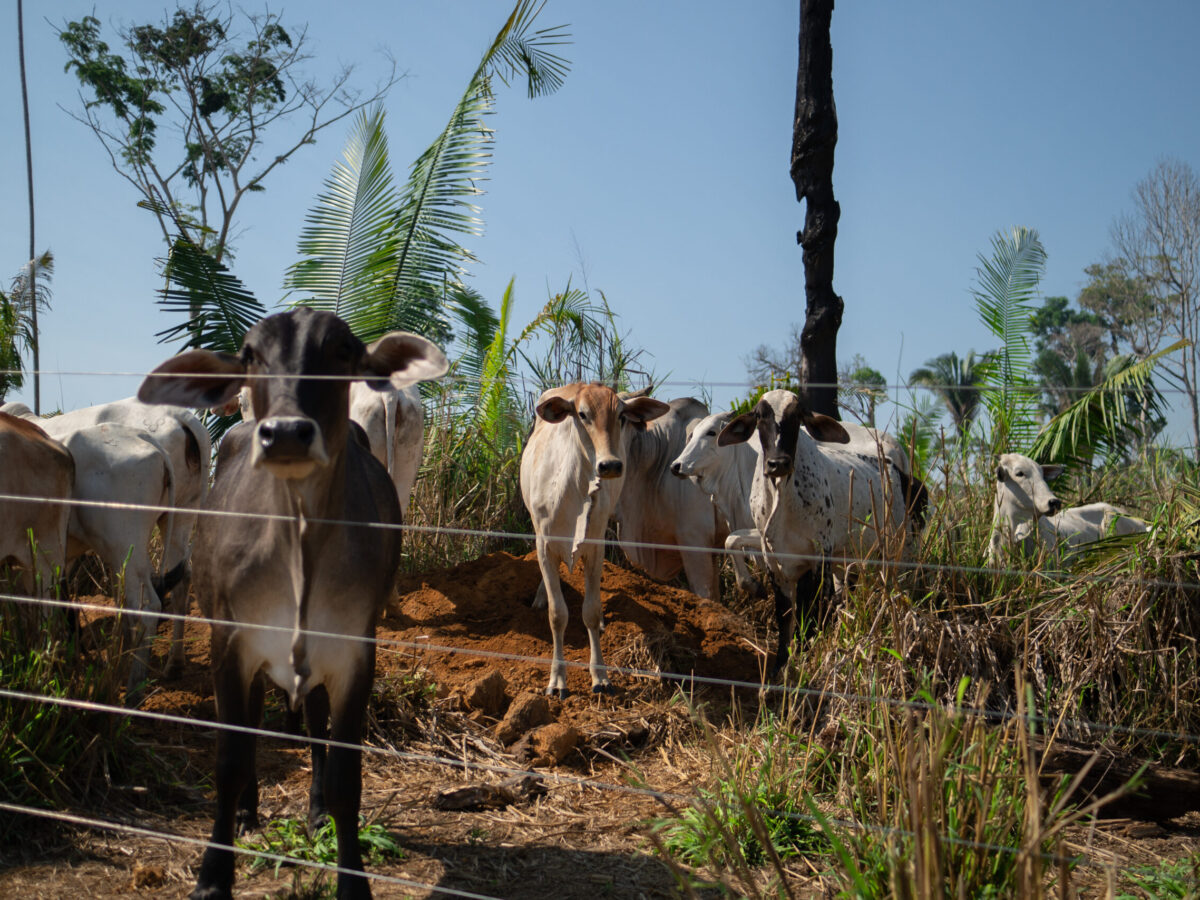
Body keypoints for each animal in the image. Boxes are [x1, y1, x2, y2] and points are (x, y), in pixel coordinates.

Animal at [136, 307, 446, 897]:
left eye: (344, 350)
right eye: (250, 354)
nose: (285, 433)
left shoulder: (352, 653)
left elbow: (346, 772)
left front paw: (351, 877)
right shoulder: (231, 644)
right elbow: (231, 760)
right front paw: (213, 876)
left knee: (315, 729)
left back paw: (315, 810)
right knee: (256, 723)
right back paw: (249, 811)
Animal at [520, 384, 672, 700]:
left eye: (622, 415)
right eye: (582, 414)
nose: (611, 465)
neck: (573, 489)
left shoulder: (595, 547)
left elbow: (589, 612)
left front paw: (600, 676)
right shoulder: (544, 543)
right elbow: (557, 614)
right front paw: (557, 679)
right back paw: (540, 595)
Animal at [710, 391, 926, 681]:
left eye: (797, 416)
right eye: (759, 416)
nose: (778, 463)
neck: (783, 498)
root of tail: (907, 477)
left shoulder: (818, 559)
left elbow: (809, 613)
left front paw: (804, 660)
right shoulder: (774, 561)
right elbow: (784, 614)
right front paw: (780, 666)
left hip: (903, 553)